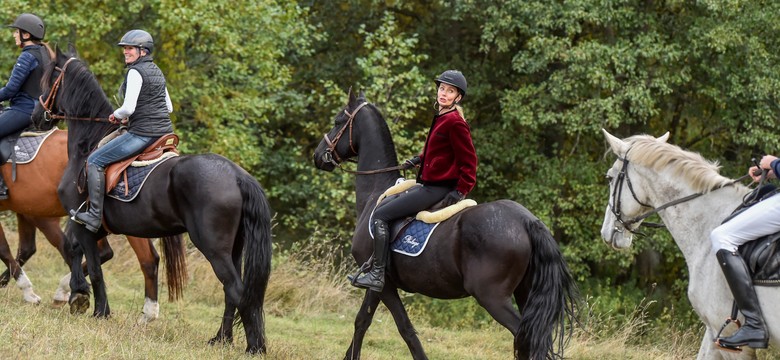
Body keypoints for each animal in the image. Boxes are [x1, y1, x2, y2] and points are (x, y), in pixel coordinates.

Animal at [31, 45, 274, 354]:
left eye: (49, 79)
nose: (37, 116)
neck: (86, 147)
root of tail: (237, 175)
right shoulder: (92, 226)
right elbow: (80, 253)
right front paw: (78, 295)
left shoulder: (84, 221)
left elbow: (90, 264)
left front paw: (92, 306)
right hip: (234, 248)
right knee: (233, 292)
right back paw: (221, 339)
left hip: (214, 247)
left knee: (235, 289)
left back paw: (252, 346)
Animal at [312, 92, 580, 360]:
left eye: (337, 121)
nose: (318, 155)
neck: (377, 193)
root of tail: (528, 221)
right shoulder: (379, 284)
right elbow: (363, 321)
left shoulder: (382, 283)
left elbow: (401, 327)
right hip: (524, 292)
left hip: (492, 297)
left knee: (523, 338)